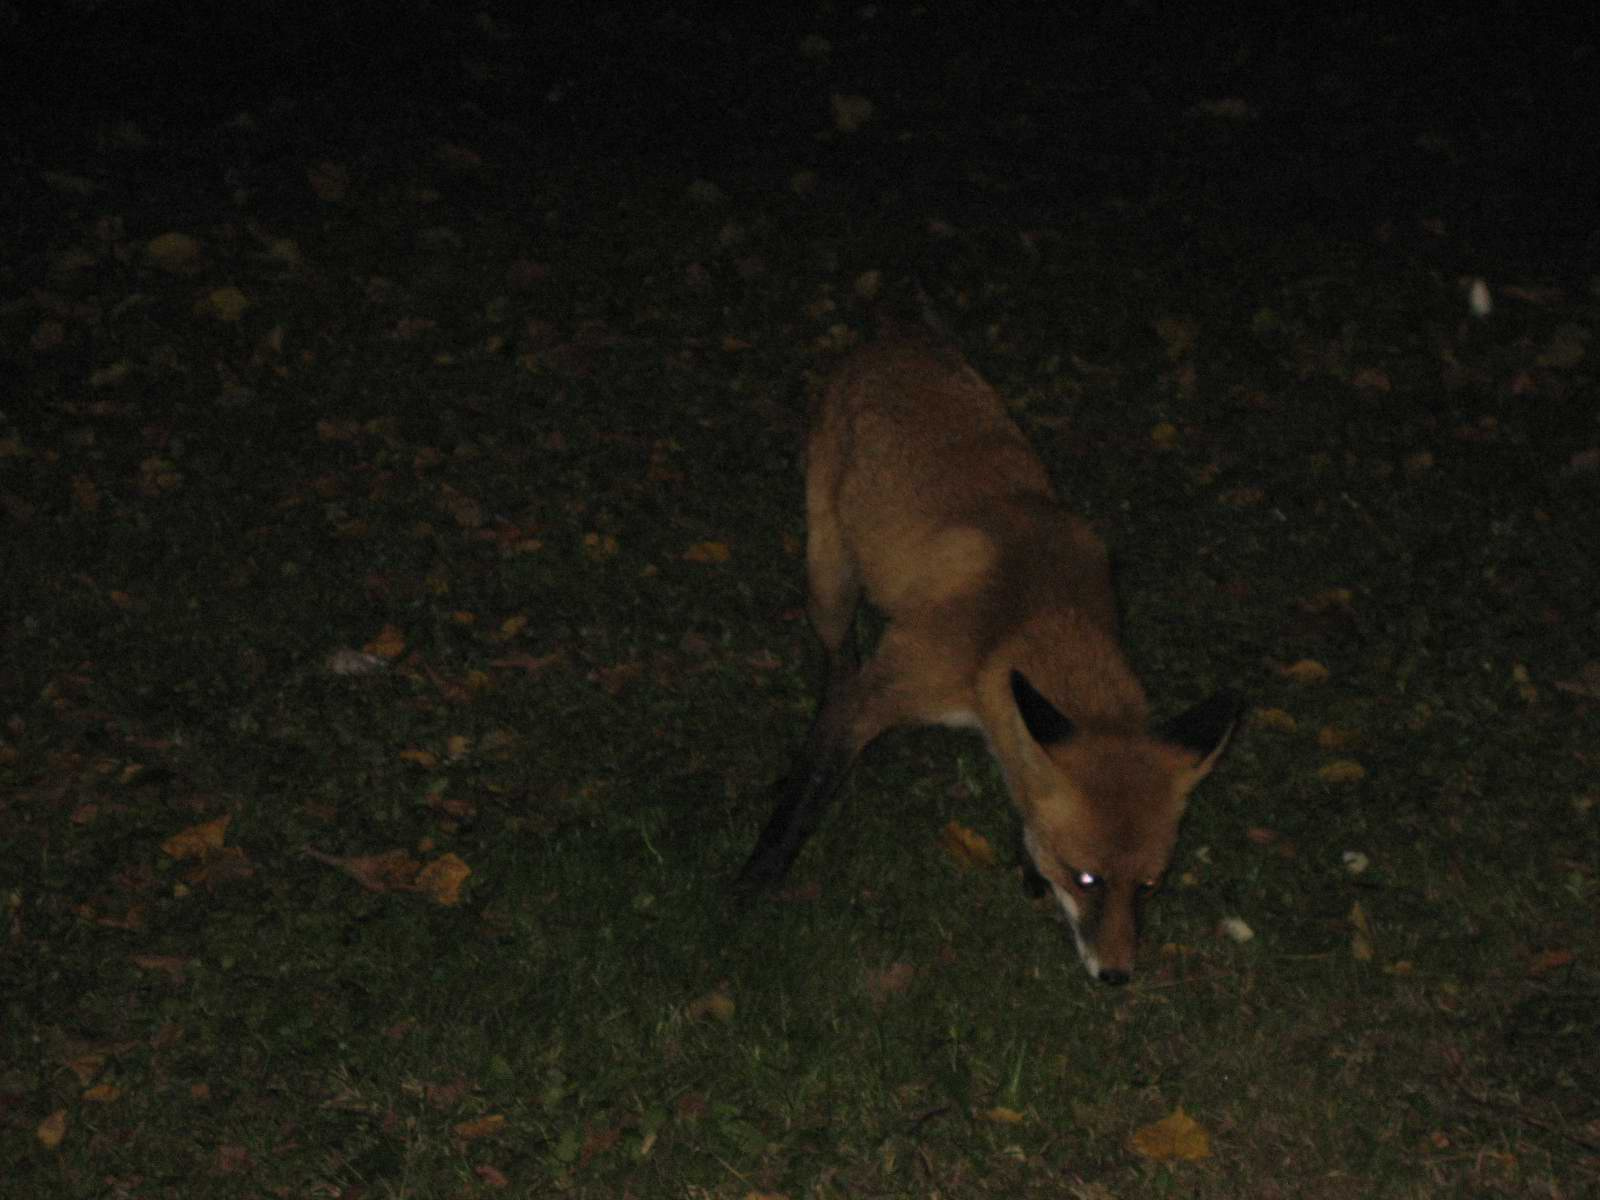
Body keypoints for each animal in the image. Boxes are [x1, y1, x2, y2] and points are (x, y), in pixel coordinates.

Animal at [736, 328, 1243, 985]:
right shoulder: (888, 690)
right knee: (838, 671)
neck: (1022, 623)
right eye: (1087, 878)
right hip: (829, 581)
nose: (1116, 976)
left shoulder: (1012, 714)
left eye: (1151, 885)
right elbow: (810, 790)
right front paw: (754, 879)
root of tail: (890, 340)